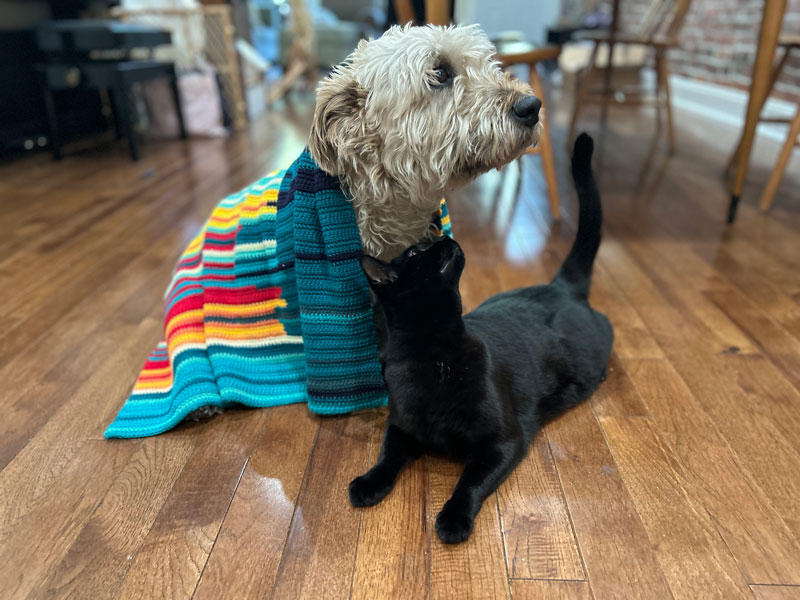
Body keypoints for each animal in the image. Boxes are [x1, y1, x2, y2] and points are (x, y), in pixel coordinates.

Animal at [350, 135, 612, 544]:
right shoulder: (401, 425)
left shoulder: (504, 441)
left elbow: (470, 482)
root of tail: (560, 286)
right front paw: (367, 483)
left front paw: (453, 518)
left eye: (429, 243)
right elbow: (386, 456)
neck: (434, 353)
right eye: (416, 252)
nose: (443, 236)